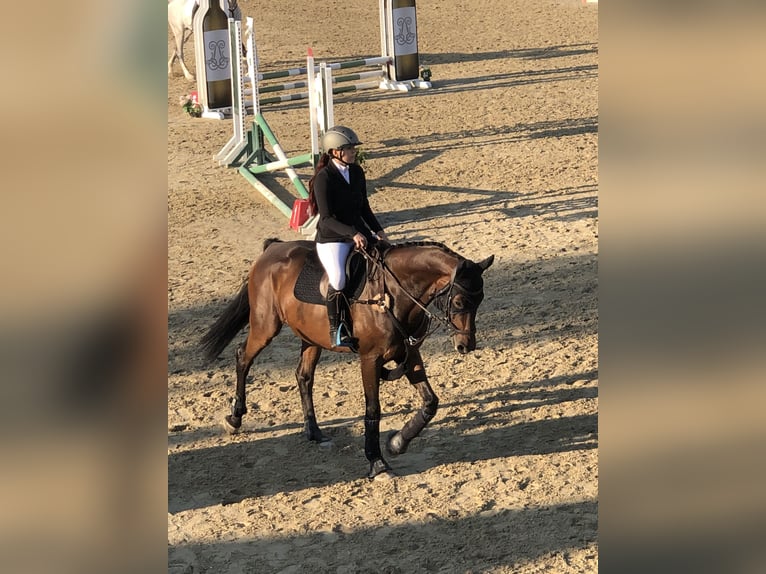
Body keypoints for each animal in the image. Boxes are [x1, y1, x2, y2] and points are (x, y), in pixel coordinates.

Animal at [201, 240, 496, 482]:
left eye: (481, 299)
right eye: (459, 301)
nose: (466, 345)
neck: (393, 296)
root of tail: (271, 249)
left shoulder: (410, 354)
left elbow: (430, 402)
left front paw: (398, 443)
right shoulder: (370, 359)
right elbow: (373, 410)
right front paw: (377, 463)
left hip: (310, 338)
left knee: (303, 376)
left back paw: (314, 431)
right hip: (265, 326)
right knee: (243, 358)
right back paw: (235, 418)